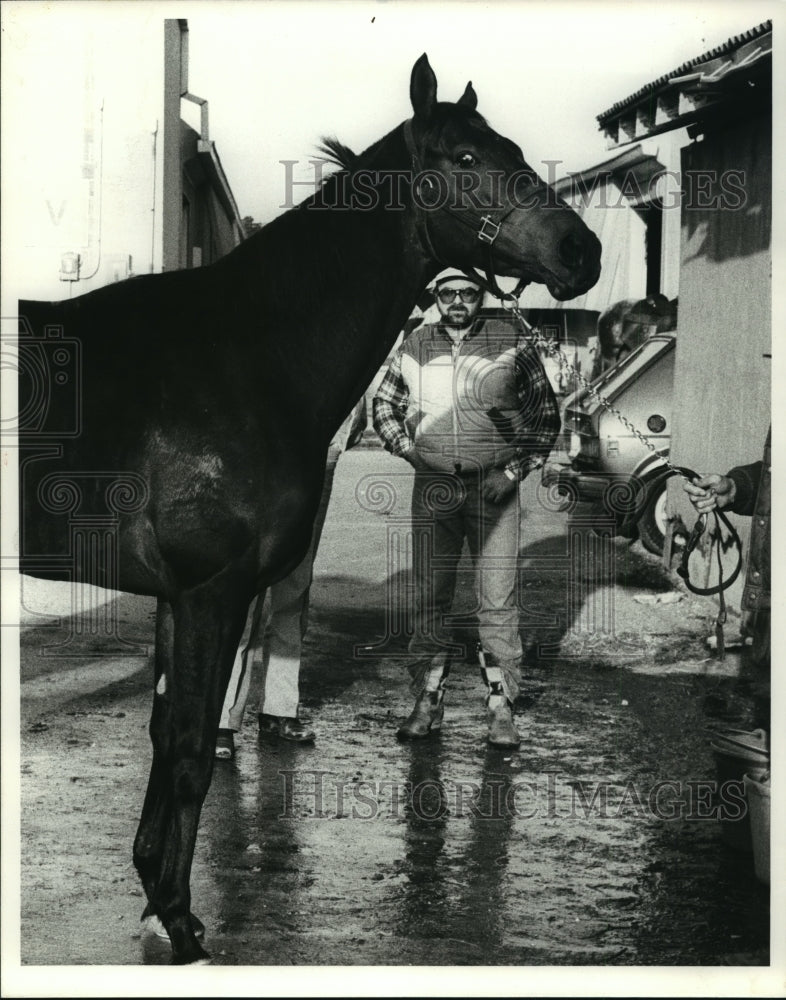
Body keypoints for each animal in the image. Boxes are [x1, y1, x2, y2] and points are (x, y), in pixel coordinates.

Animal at [18, 56, 600, 960]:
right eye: (467, 158)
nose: (583, 249)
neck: (239, 355)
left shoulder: (176, 598)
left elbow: (162, 733)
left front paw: (153, 892)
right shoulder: (211, 591)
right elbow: (191, 746)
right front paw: (180, 921)